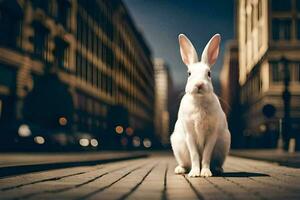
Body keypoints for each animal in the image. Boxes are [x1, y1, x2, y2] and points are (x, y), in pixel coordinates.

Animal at [170, 33, 231, 177]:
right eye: (189, 73)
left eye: (209, 73)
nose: (199, 84)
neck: (199, 100)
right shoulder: (189, 134)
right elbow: (195, 155)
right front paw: (194, 173)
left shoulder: (212, 134)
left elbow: (206, 155)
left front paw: (205, 173)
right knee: (185, 163)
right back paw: (180, 170)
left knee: (216, 162)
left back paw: (218, 169)